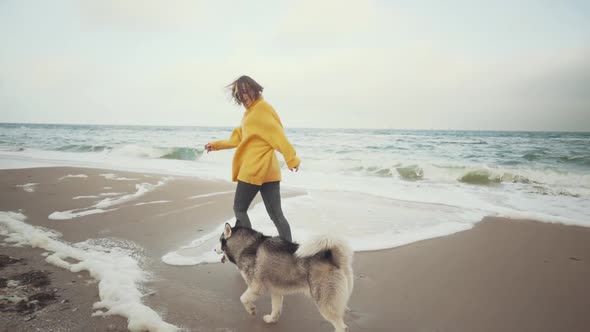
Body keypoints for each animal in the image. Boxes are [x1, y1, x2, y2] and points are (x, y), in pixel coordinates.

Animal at [217, 219, 356, 330]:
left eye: (219, 240)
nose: (214, 249)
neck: (248, 245)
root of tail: (333, 259)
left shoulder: (256, 287)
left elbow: (243, 298)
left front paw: (251, 309)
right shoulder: (276, 291)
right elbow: (275, 308)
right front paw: (272, 319)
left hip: (325, 305)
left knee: (342, 327)